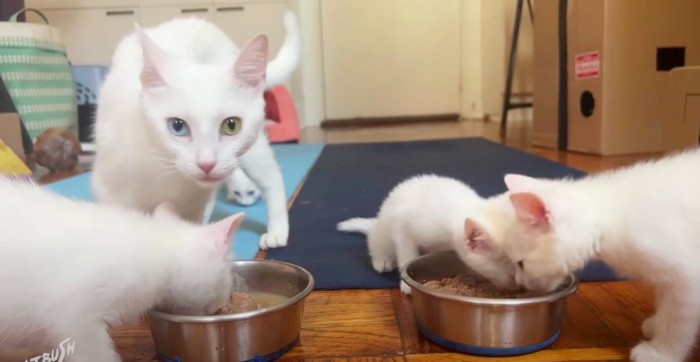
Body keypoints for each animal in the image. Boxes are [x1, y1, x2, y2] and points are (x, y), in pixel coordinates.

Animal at [90, 11, 298, 249]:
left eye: (232, 125)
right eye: (177, 126)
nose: (207, 164)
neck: (162, 170)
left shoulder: (198, 204)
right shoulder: (108, 189)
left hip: (254, 150)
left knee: (272, 179)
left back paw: (277, 230)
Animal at [336, 174, 516, 296]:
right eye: (506, 262)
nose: (517, 284)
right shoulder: (402, 228)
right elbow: (407, 255)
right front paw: (407, 285)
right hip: (383, 229)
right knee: (376, 242)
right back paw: (383, 260)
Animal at [500, 147, 700, 362]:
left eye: (521, 264)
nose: (519, 281)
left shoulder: (687, 278)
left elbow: (676, 320)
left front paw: (661, 352)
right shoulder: (667, 276)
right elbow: (664, 302)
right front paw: (655, 325)